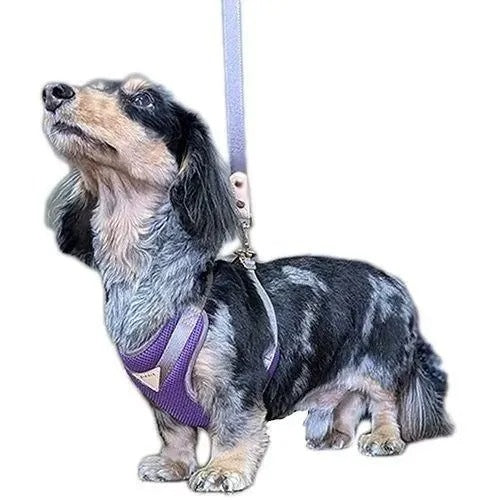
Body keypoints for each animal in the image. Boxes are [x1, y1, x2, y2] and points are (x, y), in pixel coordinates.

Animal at [43, 75, 453, 492]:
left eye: (143, 99)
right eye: (95, 85)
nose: (53, 92)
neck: (151, 276)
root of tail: (397, 287)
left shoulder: (236, 383)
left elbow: (233, 427)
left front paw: (222, 470)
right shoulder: (162, 399)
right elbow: (174, 430)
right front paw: (172, 465)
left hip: (380, 365)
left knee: (384, 401)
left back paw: (383, 438)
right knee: (350, 402)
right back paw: (334, 433)